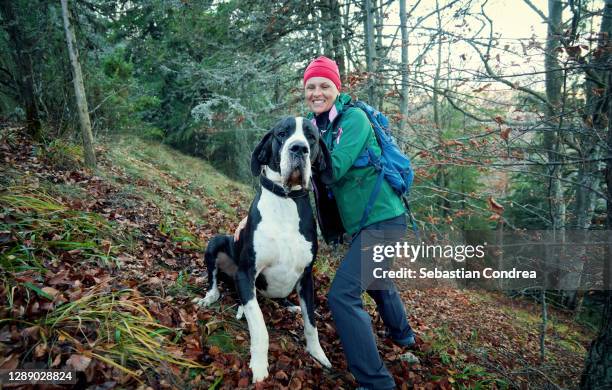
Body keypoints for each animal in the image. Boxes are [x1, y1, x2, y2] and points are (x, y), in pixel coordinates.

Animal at [194, 116, 332, 384]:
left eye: (311, 137)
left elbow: (311, 323)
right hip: (216, 242)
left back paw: (289, 305)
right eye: (282, 133)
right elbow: (259, 325)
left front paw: (318, 354)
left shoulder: (307, 277)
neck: (286, 201)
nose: (299, 148)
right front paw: (259, 365)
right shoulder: (246, 273)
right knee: (217, 285)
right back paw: (212, 298)